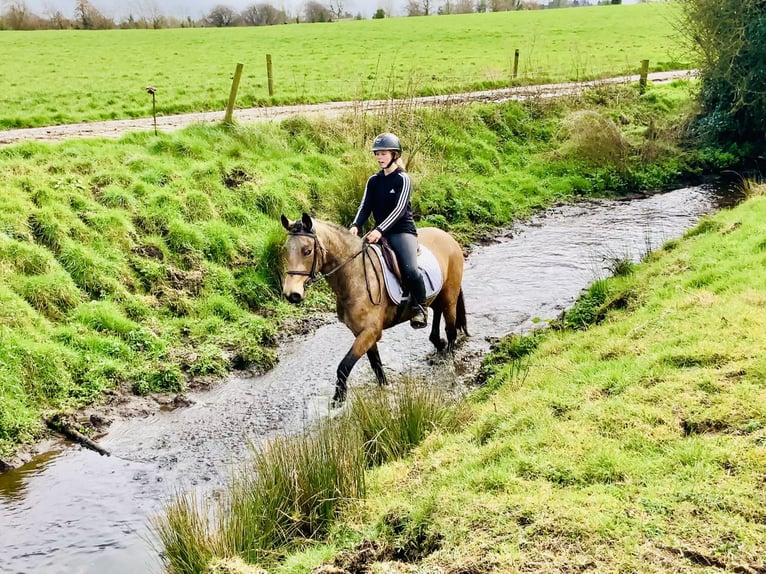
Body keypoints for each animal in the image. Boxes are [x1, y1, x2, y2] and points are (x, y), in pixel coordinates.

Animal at [280, 213, 468, 406]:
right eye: (286, 250)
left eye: (307, 251)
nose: (291, 294)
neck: (357, 277)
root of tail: (447, 236)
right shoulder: (361, 333)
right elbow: (376, 365)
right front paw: (383, 388)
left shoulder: (371, 332)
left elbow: (344, 367)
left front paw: (338, 400)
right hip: (439, 296)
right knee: (437, 313)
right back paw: (438, 342)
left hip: (450, 297)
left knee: (451, 330)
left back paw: (448, 356)